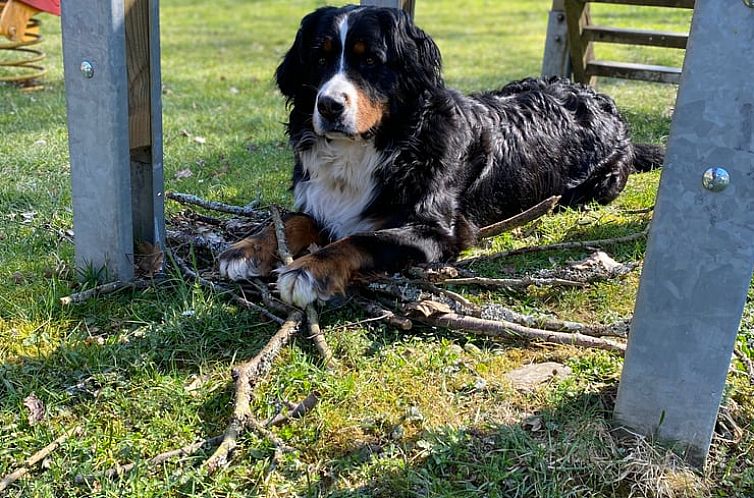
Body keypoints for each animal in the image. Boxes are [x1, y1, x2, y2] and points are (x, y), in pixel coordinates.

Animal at [216, 3, 656, 308]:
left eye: (370, 59)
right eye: (319, 57)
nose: (328, 106)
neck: (376, 144)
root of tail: (601, 101)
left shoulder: (435, 231)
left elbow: (360, 238)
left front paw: (309, 270)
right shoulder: (323, 200)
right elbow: (292, 220)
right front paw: (246, 248)